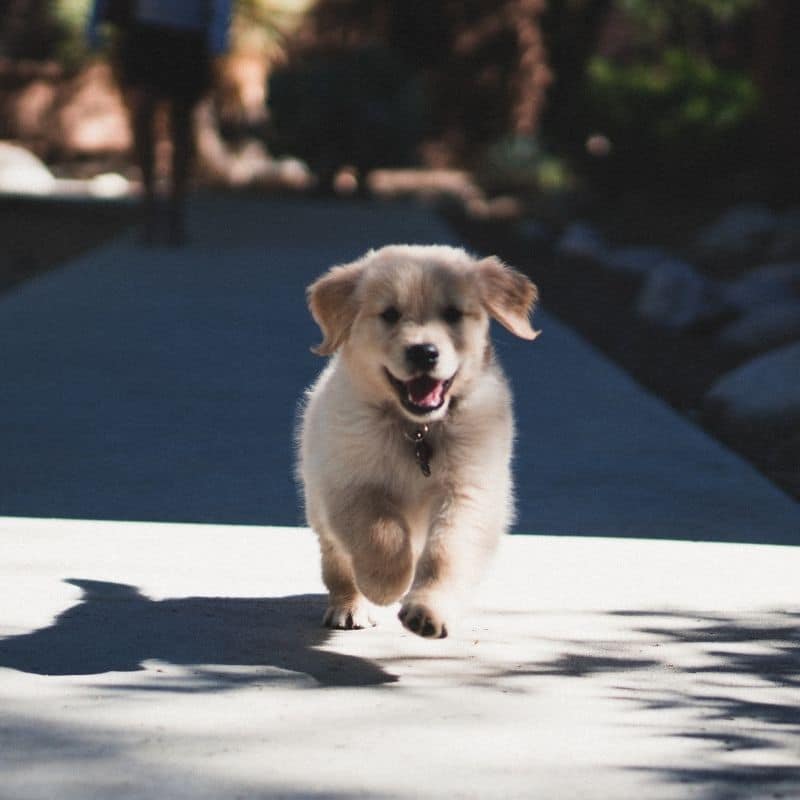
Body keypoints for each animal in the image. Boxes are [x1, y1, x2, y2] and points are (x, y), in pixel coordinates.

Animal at [298, 244, 536, 636]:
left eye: (453, 313)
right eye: (390, 315)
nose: (424, 352)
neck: (417, 429)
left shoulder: (469, 490)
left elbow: (447, 553)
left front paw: (428, 610)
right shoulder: (348, 482)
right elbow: (381, 532)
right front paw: (387, 583)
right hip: (318, 504)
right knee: (337, 562)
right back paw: (350, 605)